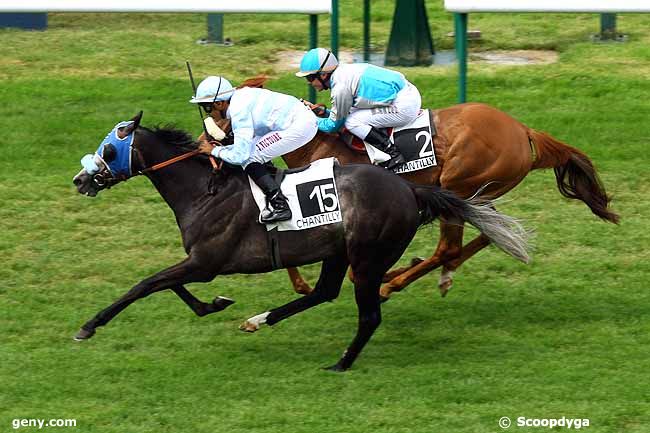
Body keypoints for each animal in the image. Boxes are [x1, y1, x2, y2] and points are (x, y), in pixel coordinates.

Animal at [72, 112, 528, 372]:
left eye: (109, 149)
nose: (79, 179)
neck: (204, 190)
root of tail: (410, 189)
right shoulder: (201, 262)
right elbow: (168, 286)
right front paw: (215, 305)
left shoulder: (206, 262)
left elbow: (146, 284)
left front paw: (89, 326)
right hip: (338, 252)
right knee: (324, 292)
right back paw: (259, 320)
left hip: (367, 259)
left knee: (369, 315)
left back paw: (341, 363)